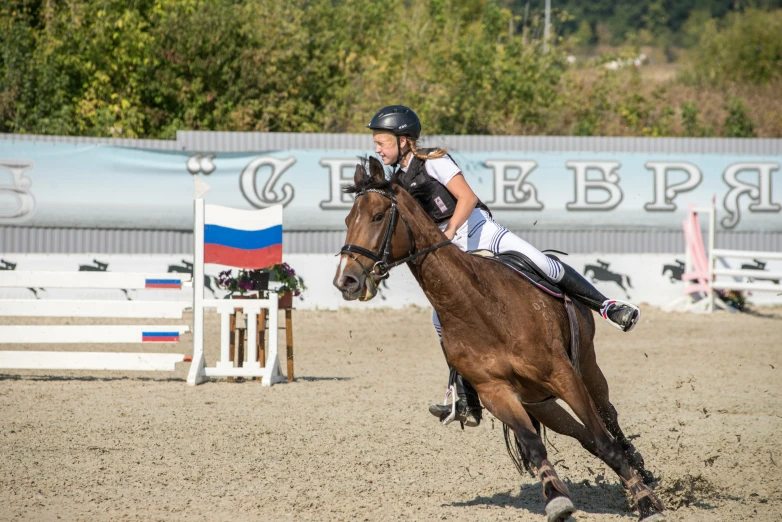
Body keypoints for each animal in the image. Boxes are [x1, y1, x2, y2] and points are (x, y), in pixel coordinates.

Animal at [334, 157, 664, 520]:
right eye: (348, 219)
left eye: (378, 216)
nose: (346, 281)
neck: (481, 307)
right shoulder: (496, 392)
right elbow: (535, 445)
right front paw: (556, 499)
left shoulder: (563, 375)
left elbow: (604, 437)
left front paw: (645, 500)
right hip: (539, 401)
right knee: (584, 436)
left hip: (586, 367)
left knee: (607, 419)